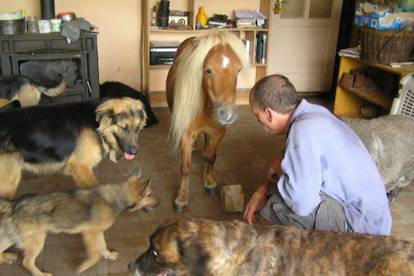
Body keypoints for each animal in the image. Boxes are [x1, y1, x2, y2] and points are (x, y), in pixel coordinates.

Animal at [0, 98, 147, 199]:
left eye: (137, 128)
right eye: (123, 127)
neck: (97, 123)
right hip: (8, 182)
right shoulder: (82, 167)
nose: (135, 152)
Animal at [0, 175, 158, 276]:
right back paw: (41, 274)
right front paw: (85, 266)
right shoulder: (90, 233)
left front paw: (109, 255)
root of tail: (13, 205)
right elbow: (95, 254)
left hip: (11, 238)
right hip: (37, 241)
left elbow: (102, 247)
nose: (159, 203)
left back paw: (6, 258)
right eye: (150, 194)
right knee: (27, 262)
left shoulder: (97, 232)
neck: (117, 197)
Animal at [166, 31, 249, 211]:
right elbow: (185, 167)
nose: (228, 114)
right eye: (208, 70)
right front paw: (181, 198)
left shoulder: (218, 132)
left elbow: (211, 158)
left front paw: (209, 182)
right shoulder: (186, 135)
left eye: (238, 69)